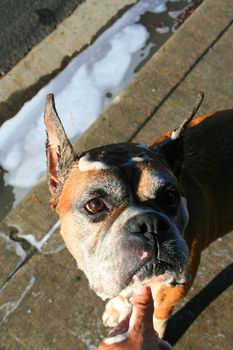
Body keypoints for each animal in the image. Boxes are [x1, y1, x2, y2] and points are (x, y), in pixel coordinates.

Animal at [43, 91, 233, 338]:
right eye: (95, 204)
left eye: (170, 195)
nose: (151, 225)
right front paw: (118, 306)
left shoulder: (169, 294)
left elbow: (156, 319)